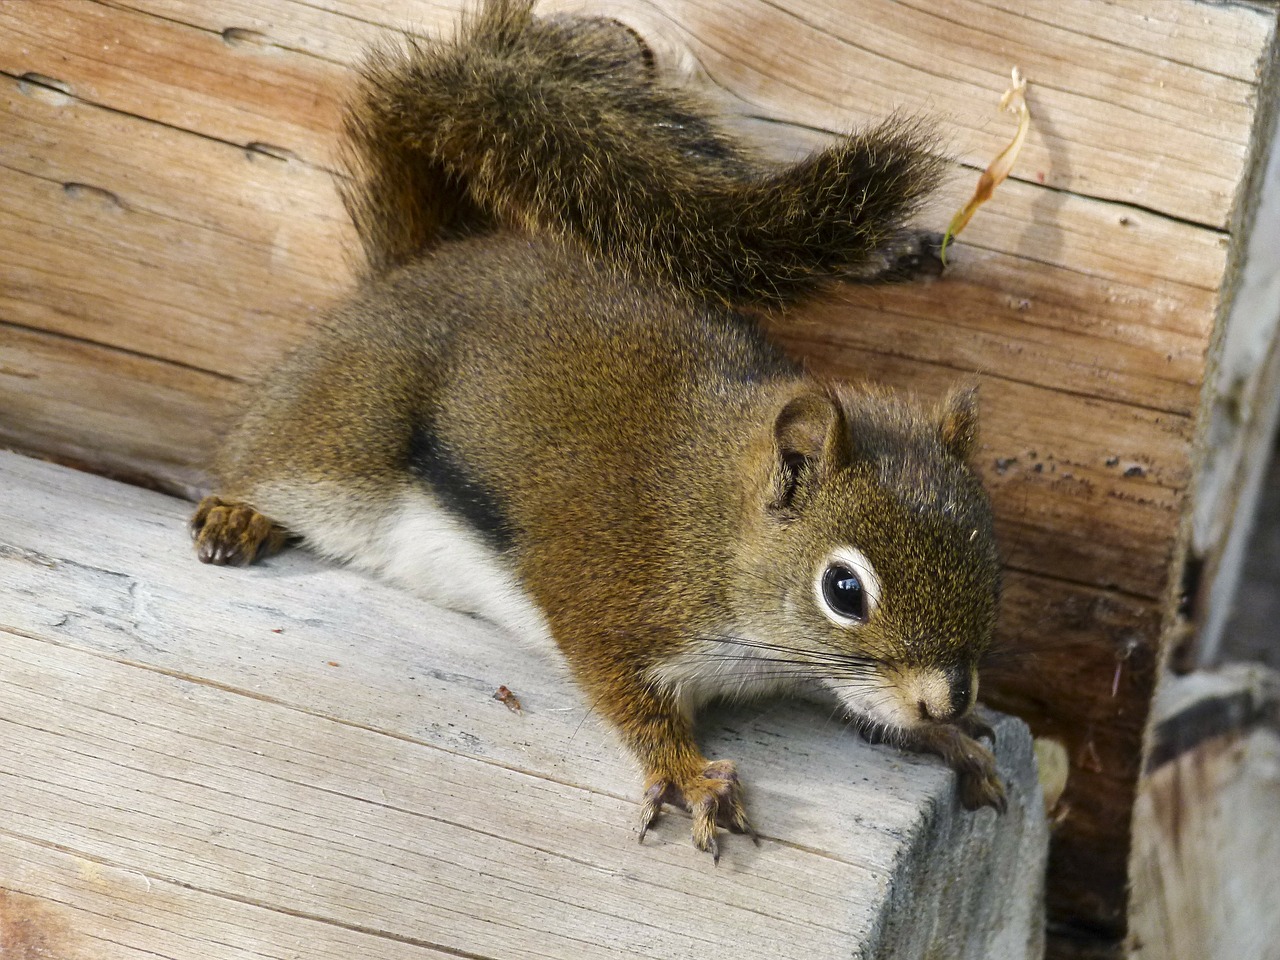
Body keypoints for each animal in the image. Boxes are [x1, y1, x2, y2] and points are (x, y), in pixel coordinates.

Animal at [192, 0, 1008, 860]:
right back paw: (239, 512)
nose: (945, 700)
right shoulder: (607, 595)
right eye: (844, 590)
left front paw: (946, 740)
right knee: (261, 454)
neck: (715, 526)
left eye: (994, 567)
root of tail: (419, 267)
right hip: (339, 431)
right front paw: (686, 773)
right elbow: (627, 698)